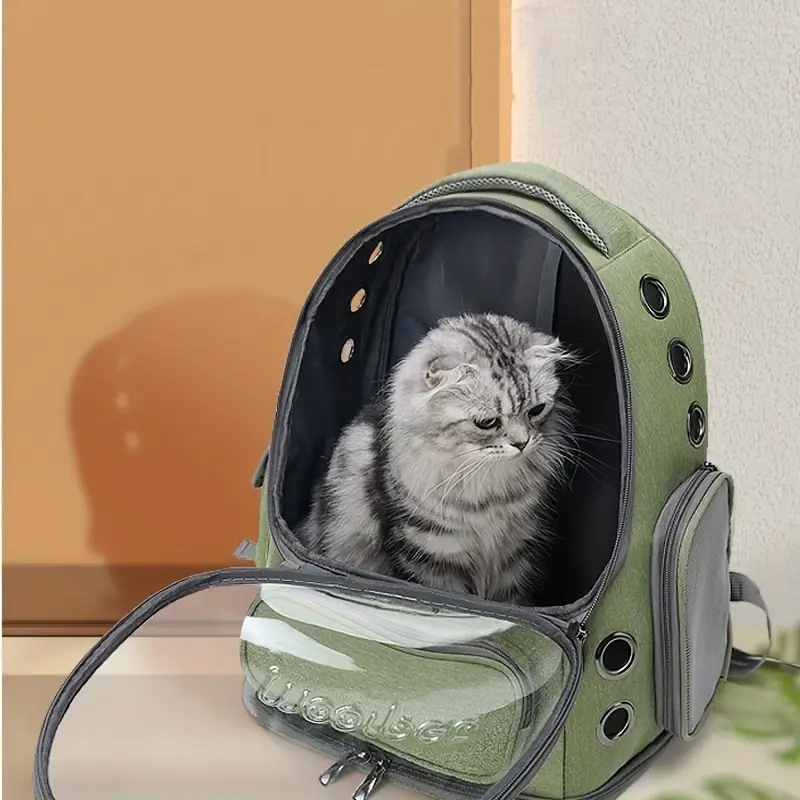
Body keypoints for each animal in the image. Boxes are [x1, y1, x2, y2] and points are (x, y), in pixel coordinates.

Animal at [294, 316, 576, 604]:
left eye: (536, 410)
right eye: (487, 422)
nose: (522, 444)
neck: (488, 492)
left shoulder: (514, 554)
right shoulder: (432, 554)